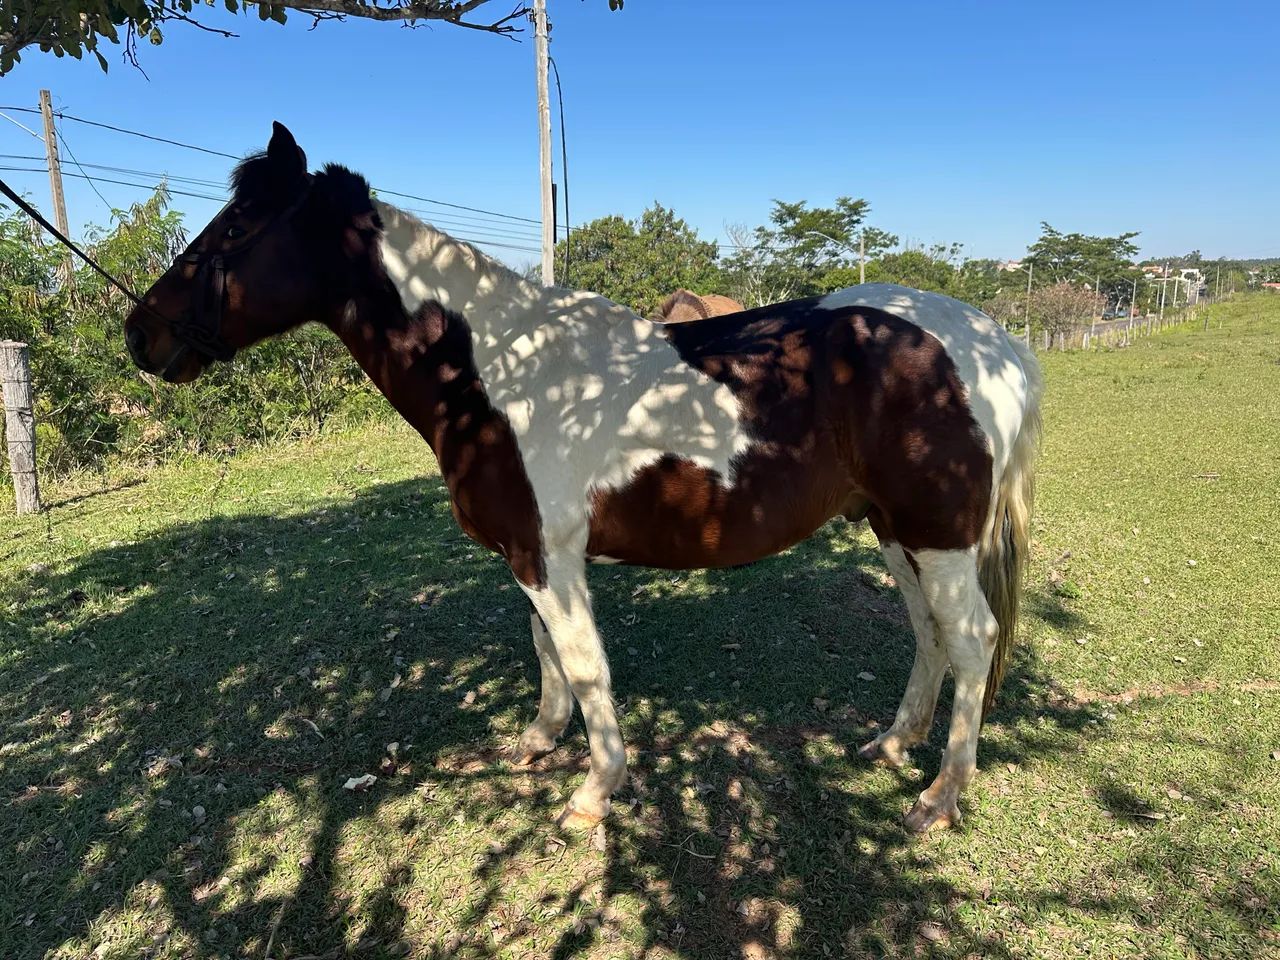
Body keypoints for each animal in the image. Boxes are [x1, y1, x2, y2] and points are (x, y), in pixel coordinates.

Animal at [124, 123, 1043, 833]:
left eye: (236, 229)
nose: (140, 333)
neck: (496, 371)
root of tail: (990, 342)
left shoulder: (551, 556)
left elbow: (584, 662)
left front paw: (595, 791)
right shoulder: (528, 556)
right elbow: (546, 652)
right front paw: (539, 742)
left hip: (939, 534)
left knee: (971, 639)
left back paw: (938, 798)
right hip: (895, 529)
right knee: (929, 633)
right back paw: (892, 745)